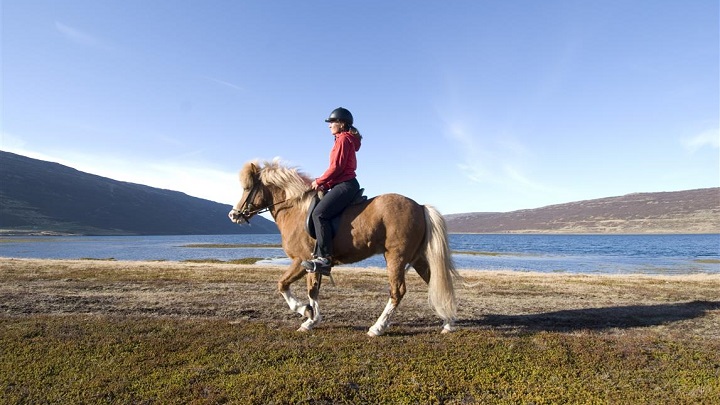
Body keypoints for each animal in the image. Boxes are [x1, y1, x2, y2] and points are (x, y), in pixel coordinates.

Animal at [228, 159, 462, 336]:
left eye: (247, 188)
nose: (233, 215)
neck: (295, 209)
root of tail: (420, 206)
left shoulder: (301, 260)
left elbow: (284, 285)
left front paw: (305, 313)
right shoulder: (311, 265)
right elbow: (312, 290)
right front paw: (312, 318)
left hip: (396, 257)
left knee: (397, 291)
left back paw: (377, 328)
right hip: (416, 258)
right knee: (433, 282)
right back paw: (448, 323)